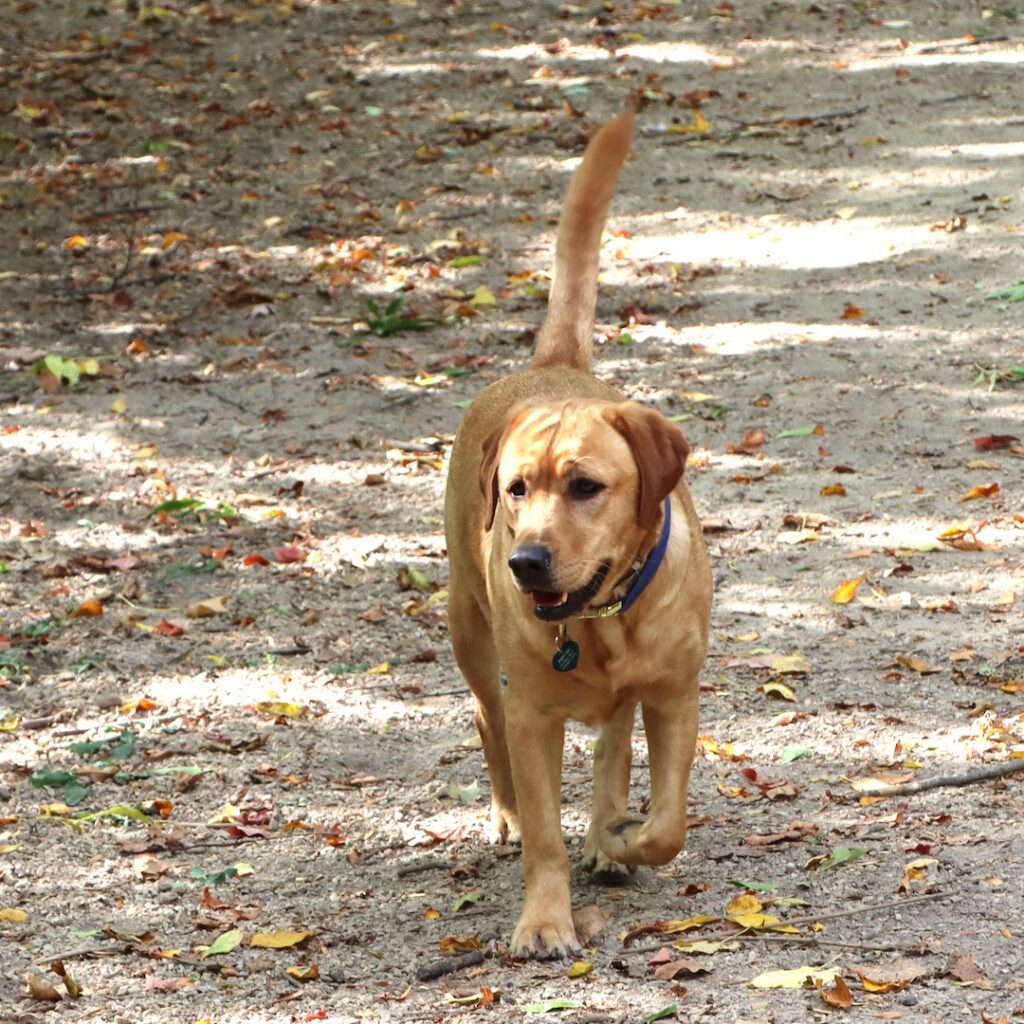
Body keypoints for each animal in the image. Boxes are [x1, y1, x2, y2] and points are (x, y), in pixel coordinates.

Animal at [444, 108, 708, 954]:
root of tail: (550, 362)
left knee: (613, 744)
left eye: (587, 486)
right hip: (468, 629)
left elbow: (667, 822)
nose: (526, 561)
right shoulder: (532, 715)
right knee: (486, 723)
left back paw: (606, 831)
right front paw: (545, 920)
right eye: (516, 490)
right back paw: (507, 815)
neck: (601, 622)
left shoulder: (674, 696)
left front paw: (621, 838)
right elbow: (542, 834)